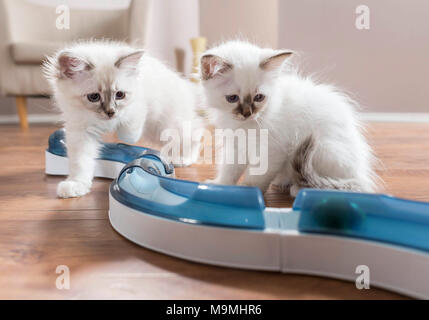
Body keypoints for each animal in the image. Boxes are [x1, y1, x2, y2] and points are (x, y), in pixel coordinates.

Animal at [44, 40, 202, 198]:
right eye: (94, 97)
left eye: (120, 95)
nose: (110, 112)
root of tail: (186, 85)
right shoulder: (80, 132)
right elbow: (80, 163)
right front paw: (76, 185)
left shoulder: (139, 107)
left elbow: (128, 133)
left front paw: (118, 131)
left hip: (164, 126)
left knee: (195, 133)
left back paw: (183, 159)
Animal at [199, 40, 376, 195]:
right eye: (232, 98)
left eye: (259, 97)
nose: (248, 113)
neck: (244, 126)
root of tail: (360, 176)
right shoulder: (235, 145)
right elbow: (229, 170)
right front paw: (219, 185)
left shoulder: (271, 150)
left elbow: (256, 177)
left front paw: (247, 191)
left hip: (323, 149)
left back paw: (299, 188)